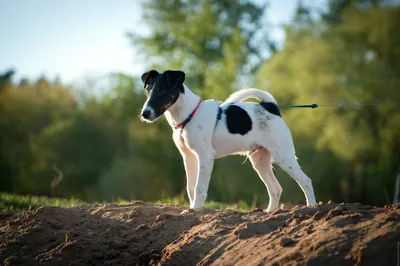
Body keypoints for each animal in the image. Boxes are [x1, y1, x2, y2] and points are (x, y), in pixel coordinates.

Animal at [140, 69, 316, 212]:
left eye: (162, 90)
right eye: (148, 90)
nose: (144, 114)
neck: (189, 114)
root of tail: (270, 107)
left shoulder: (205, 156)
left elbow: (199, 188)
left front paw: (195, 210)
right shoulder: (188, 157)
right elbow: (190, 188)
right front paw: (191, 210)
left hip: (284, 156)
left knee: (306, 181)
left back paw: (311, 207)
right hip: (260, 161)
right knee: (275, 189)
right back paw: (270, 213)